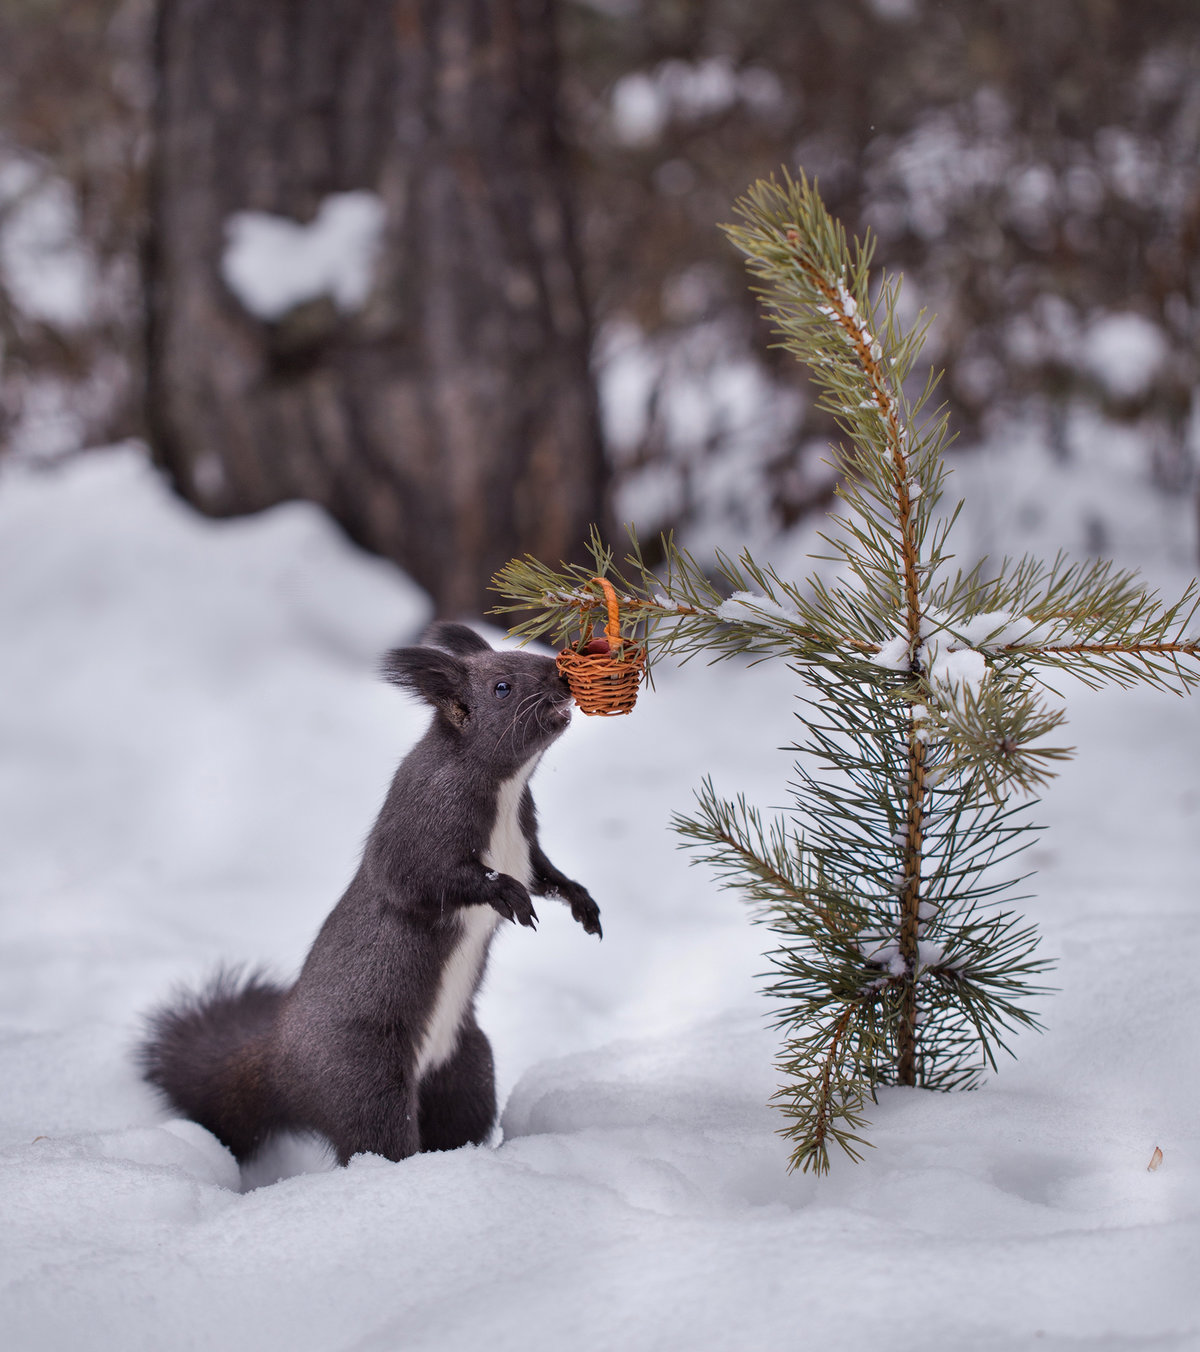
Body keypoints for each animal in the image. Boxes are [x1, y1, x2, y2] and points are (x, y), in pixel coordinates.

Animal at [138, 622, 600, 1166]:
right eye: (501, 688)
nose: (562, 673)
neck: (505, 788)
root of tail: (278, 1062)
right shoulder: (421, 825)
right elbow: (423, 881)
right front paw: (504, 894)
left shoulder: (525, 845)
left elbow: (546, 877)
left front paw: (581, 902)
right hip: (363, 1081)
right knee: (379, 1140)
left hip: (466, 1070)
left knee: (458, 1117)